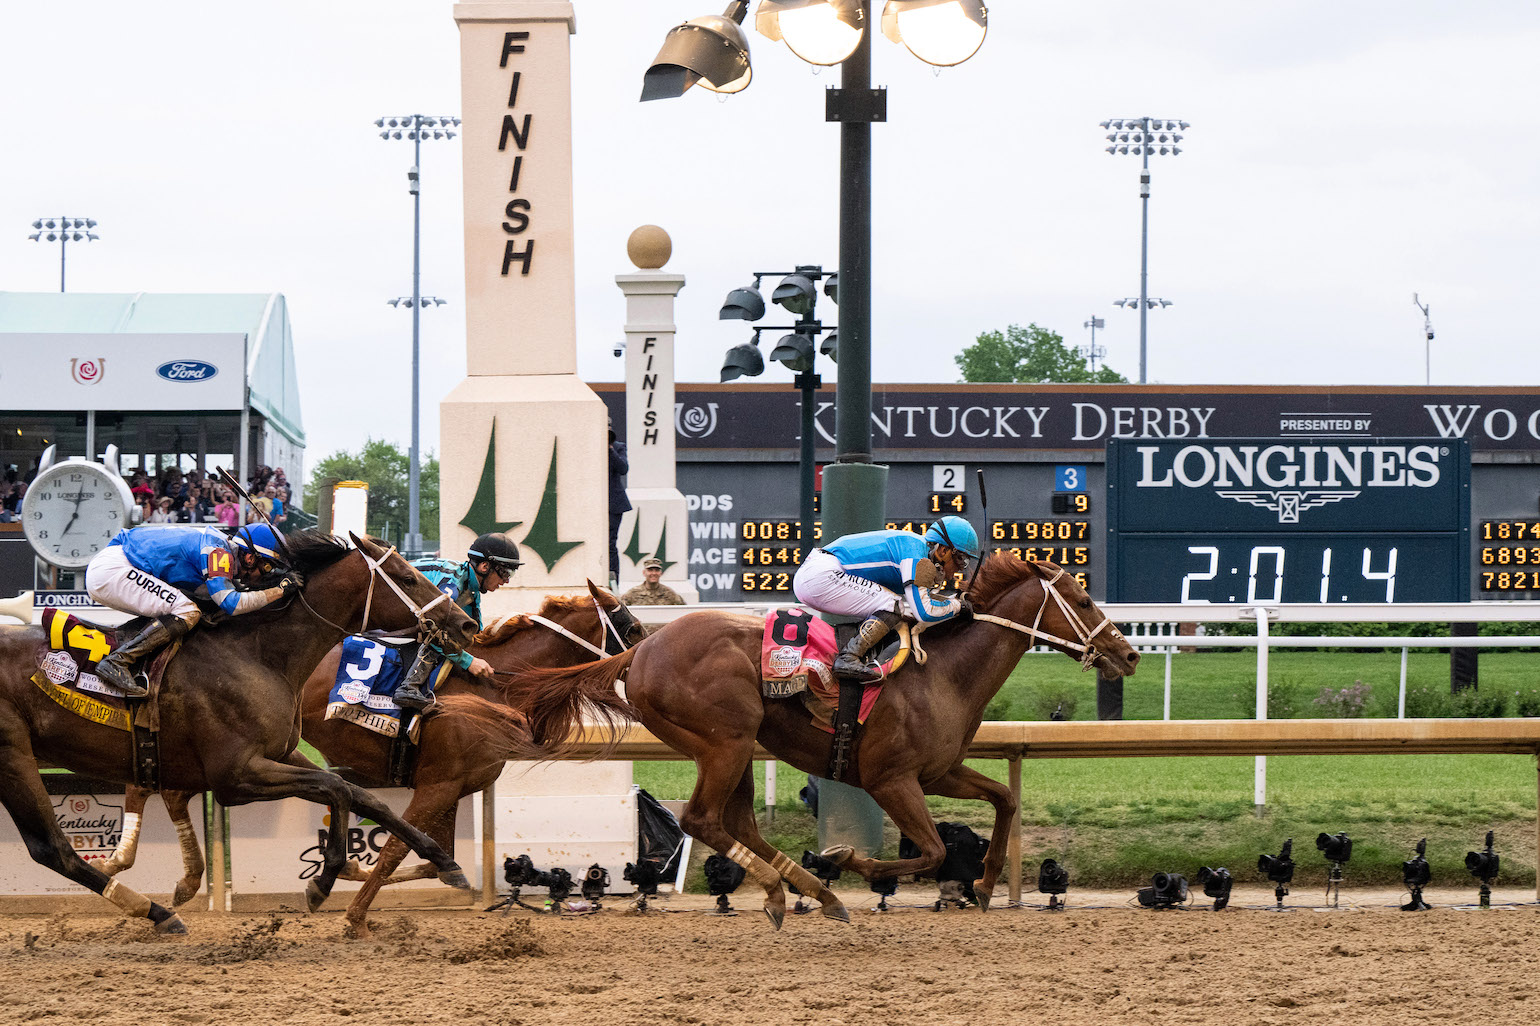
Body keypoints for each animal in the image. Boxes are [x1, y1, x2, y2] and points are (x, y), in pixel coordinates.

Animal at [0, 529, 474, 930]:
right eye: (409, 576)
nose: (466, 624)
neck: (257, 654)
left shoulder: (280, 755)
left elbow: (364, 795)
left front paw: (444, 861)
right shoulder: (235, 776)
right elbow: (336, 788)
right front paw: (322, 882)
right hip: (14, 757)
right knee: (53, 849)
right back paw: (158, 913)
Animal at [107, 579, 637, 930]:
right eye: (630, 624)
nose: (649, 653)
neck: (493, 687)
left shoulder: (453, 786)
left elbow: (433, 858)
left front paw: (351, 870)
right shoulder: (439, 782)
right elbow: (398, 849)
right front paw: (356, 912)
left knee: (170, 792)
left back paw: (176, 881)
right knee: (148, 785)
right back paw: (124, 862)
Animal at [511, 554, 1139, 924]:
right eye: (1084, 601)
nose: (1129, 654)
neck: (942, 674)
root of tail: (639, 650)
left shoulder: (938, 772)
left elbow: (1005, 799)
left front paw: (983, 884)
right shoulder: (892, 780)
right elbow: (933, 850)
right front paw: (849, 858)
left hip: (737, 747)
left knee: (737, 823)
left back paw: (812, 891)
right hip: (725, 742)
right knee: (701, 819)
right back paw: (795, 888)